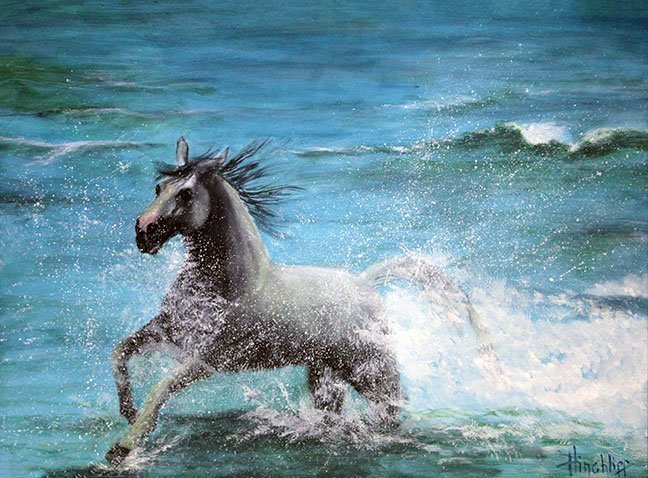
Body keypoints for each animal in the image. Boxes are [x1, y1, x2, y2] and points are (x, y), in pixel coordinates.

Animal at [106, 137, 495, 464]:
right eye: (159, 188)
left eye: (186, 194)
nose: (143, 233)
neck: (233, 284)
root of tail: (364, 284)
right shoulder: (169, 333)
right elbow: (120, 351)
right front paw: (128, 411)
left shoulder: (211, 358)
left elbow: (161, 387)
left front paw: (124, 446)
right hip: (324, 373)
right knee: (332, 411)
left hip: (370, 369)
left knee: (391, 408)